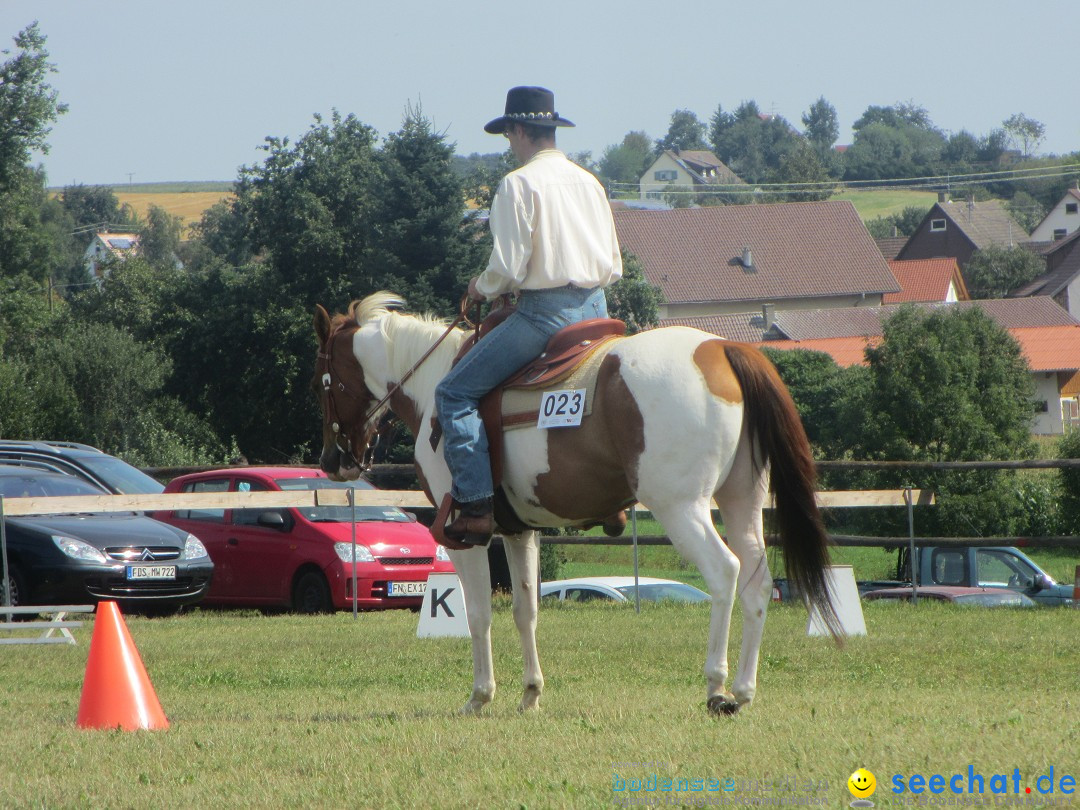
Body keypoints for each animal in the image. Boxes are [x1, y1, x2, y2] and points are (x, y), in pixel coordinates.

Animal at [313, 291, 842, 717]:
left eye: (324, 381)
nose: (332, 459)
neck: (433, 386)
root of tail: (720, 349)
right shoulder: (519, 531)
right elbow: (525, 609)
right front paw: (530, 694)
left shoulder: (465, 535)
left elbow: (478, 614)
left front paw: (480, 696)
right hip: (741, 500)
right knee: (756, 580)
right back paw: (744, 690)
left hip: (682, 508)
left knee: (724, 573)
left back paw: (716, 686)